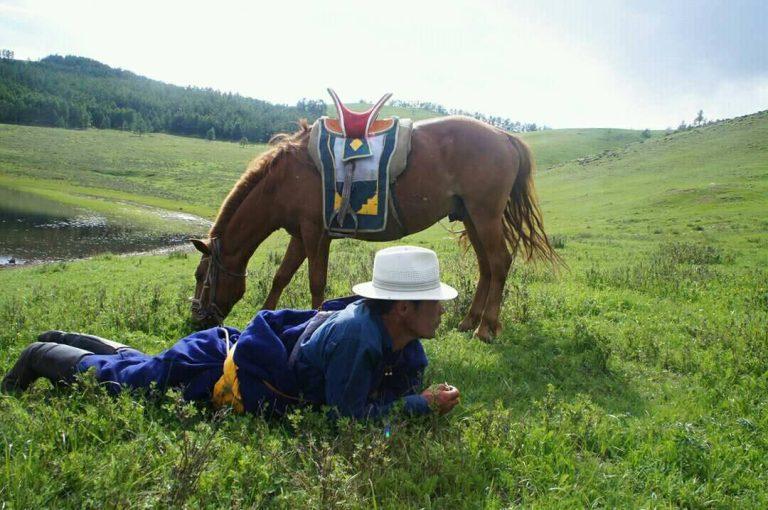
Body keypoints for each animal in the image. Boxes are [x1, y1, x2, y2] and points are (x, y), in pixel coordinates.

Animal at [190, 115, 558, 341]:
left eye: (201, 276)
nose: (197, 319)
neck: (285, 179)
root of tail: (504, 137)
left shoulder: (315, 233)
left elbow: (316, 282)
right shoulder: (299, 234)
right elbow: (282, 276)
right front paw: (264, 316)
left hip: (485, 215)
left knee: (499, 263)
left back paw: (486, 328)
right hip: (471, 216)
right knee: (486, 267)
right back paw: (470, 321)